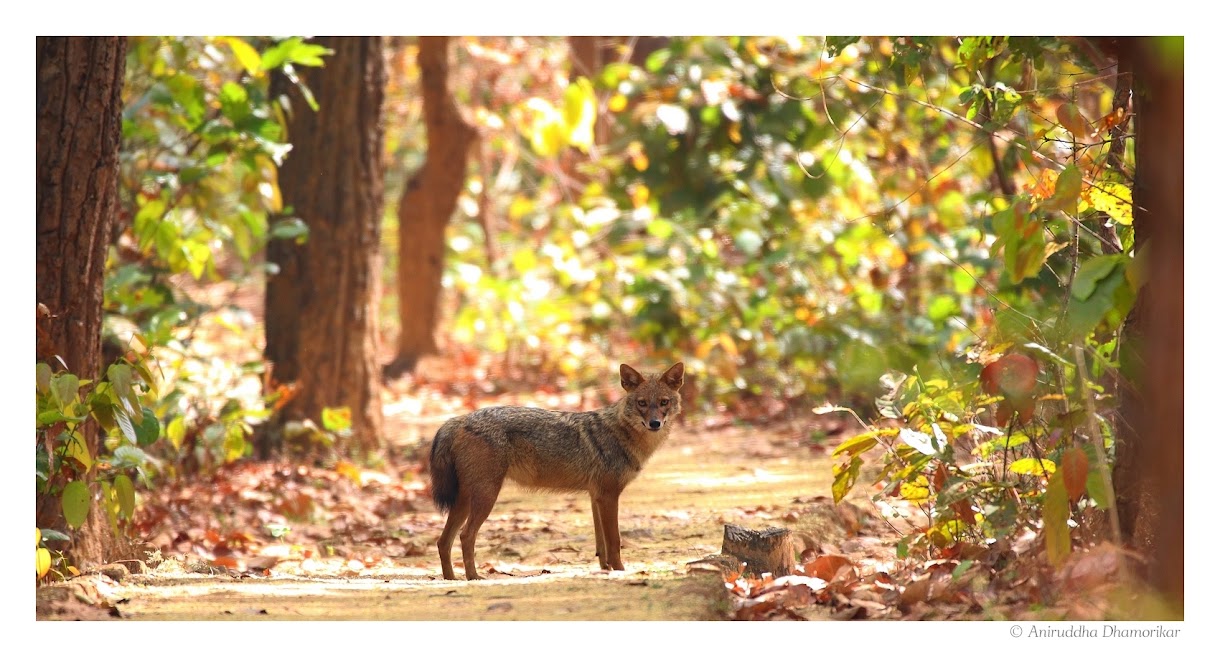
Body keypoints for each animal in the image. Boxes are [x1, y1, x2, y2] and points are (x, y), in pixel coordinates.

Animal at [429, 362, 685, 580]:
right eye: (642, 403)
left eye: (664, 402)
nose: (655, 424)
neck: (623, 433)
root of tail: (461, 419)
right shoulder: (608, 496)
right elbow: (614, 541)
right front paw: (620, 571)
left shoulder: (596, 497)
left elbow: (601, 544)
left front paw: (605, 570)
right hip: (486, 496)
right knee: (465, 535)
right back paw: (473, 577)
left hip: (465, 500)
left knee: (443, 541)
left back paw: (450, 579)